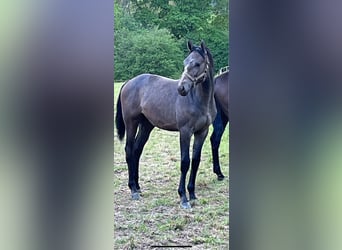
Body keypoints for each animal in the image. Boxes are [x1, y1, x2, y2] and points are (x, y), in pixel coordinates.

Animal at [115, 41, 216, 209]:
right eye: (185, 62)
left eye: (197, 63)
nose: (181, 88)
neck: (199, 100)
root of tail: (129, 82)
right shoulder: (185, 132)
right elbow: (185, 162)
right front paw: (183, 197)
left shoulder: (202, 132)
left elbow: (195, 161)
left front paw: (192, 194)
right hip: (131, 123)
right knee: (129, 150)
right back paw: (133, 190)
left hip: (146, 126)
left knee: (136, 150)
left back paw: (138, 186)